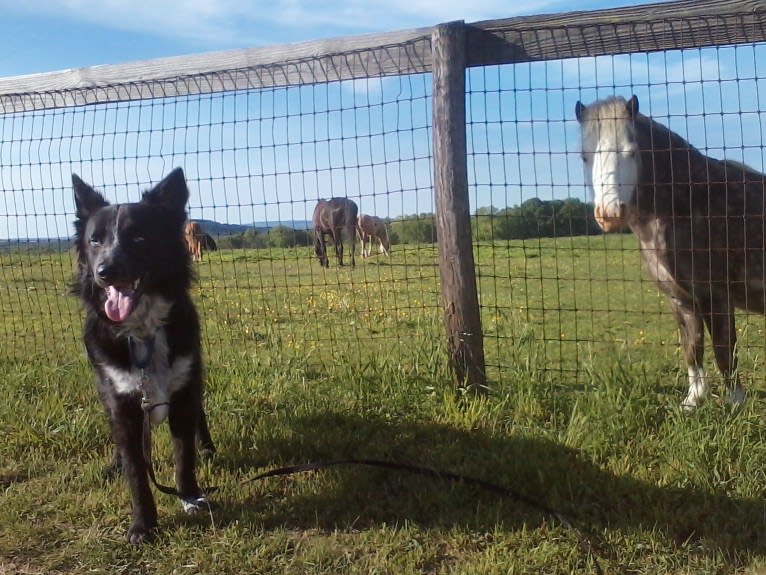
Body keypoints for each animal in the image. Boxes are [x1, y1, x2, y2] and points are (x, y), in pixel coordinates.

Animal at [71, 168, 213, 544]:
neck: (144, 331)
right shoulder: (120, 401)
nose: (104, 272)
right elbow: (136, 470)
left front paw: (190, 497)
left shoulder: (184, 387)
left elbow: (183, 455)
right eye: (95, 240)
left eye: (138, 237)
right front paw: (142, 525)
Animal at [576, 94, 766, 410]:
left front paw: (735, 404)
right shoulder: (681, 299)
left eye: (631, 152)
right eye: (584, 156)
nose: (609, 214)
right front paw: (692, 401)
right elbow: (692, 349)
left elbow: (724, 351)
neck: (690, 203)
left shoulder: (715, 297)